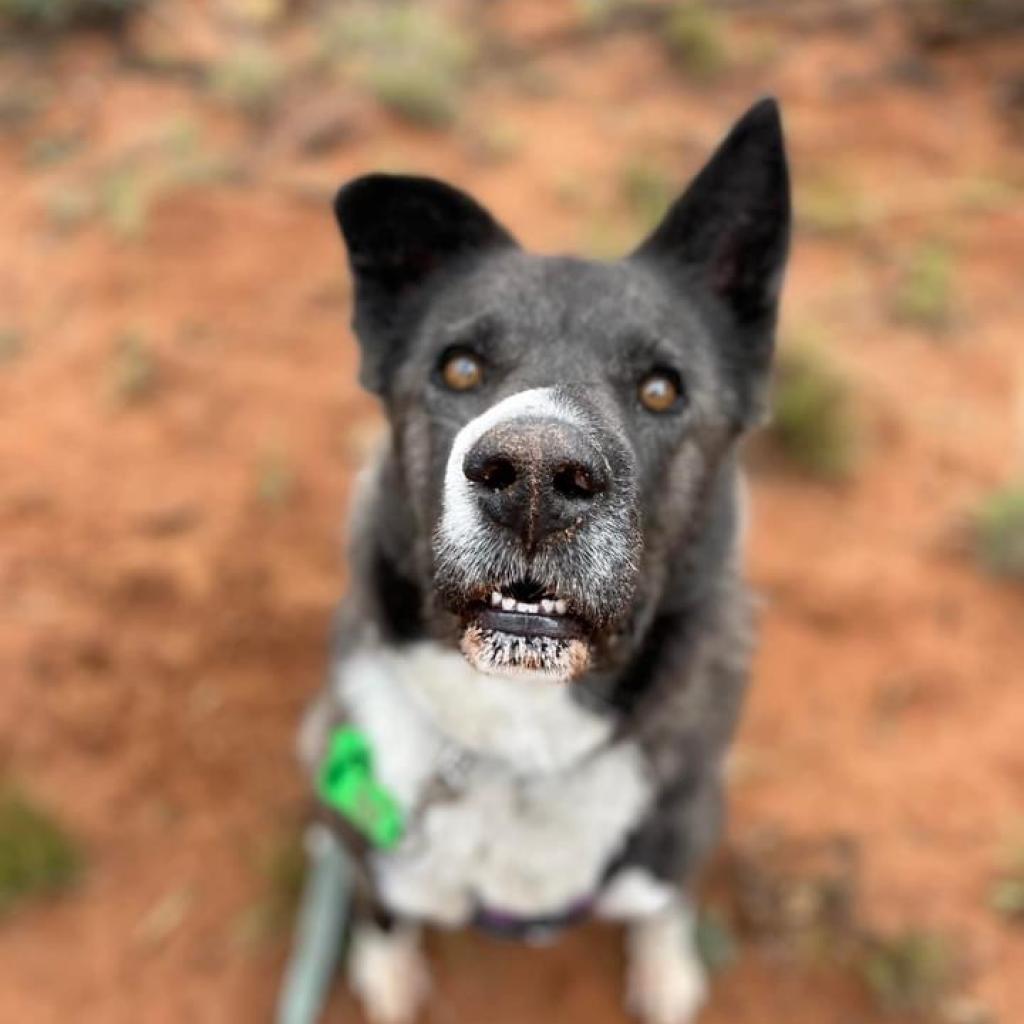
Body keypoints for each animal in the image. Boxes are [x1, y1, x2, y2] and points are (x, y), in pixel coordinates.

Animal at [296, 97, 790, 1024]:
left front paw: (666, 967)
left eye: (663, 388)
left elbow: (666, 900)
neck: (521, 740)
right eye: (459, 367)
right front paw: (386, 969)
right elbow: (384, 902)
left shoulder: (681, 825)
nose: (531, 477)